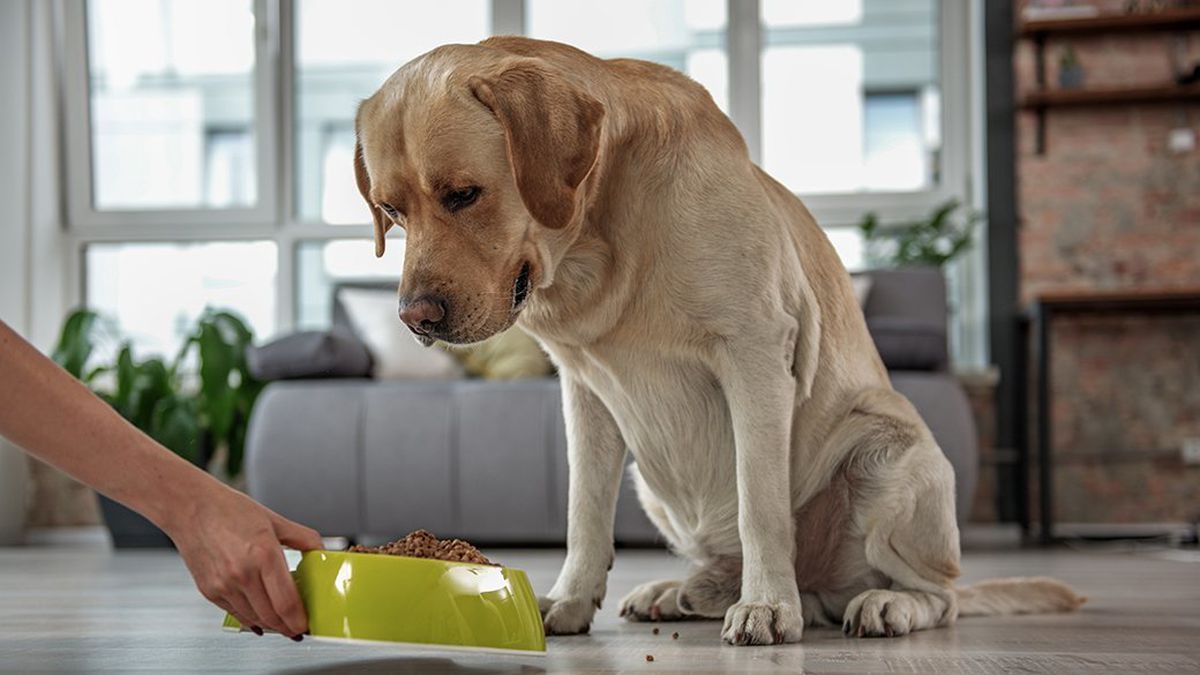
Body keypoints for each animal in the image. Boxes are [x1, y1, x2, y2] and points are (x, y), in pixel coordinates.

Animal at [352, 35, 1089, 638]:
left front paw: (767, 606)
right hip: (651, 479)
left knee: (941, 594)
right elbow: (582, 512)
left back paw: (878, 603)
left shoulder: (755, 356)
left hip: (888, 452)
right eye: (391, 210)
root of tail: (825, 587)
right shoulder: (584, 392)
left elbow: (761, 503)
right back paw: (685, 591)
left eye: (464, 194)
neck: (600, 245)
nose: (415, 318)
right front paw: (568, 599)